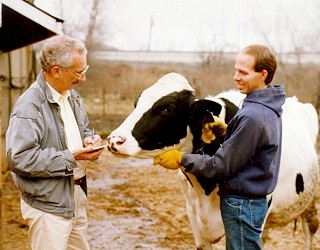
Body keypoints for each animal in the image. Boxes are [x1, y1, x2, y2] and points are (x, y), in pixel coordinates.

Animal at [106, 72, 318, 250]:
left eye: (168, 108)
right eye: (136, 103)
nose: (114, 140)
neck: (205, 190)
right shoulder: (194, 217)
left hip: (310, 202)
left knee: (309, 233)